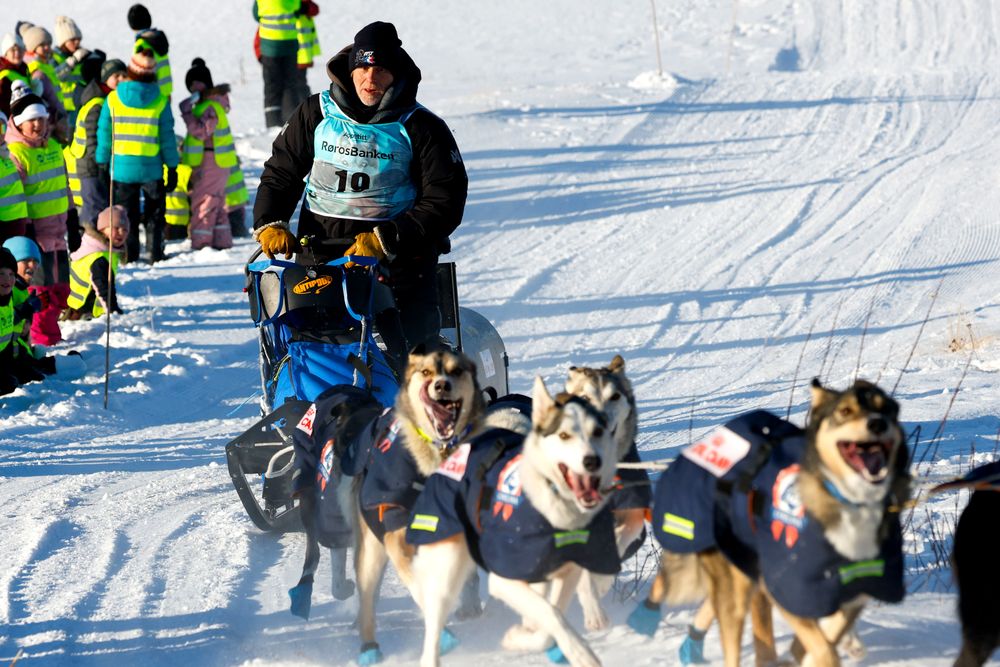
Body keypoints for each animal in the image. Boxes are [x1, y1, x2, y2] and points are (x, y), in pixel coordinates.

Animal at [402, 376, 620, 667]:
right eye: (564, 436)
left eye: (597, 433)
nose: (592, 461)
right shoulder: (505, 579)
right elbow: (550, 614)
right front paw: (580, 652)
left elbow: (550, 617)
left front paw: (524, 636)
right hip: (445, 576)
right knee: (434, 630)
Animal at [564, 354, 648, 632]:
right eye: (585, 398)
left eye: (614, 396)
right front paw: (595, 613)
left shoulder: (633, 508)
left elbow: (623, 535)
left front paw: (602, 580)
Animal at [636, 380, 912, 667]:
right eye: (845, 411)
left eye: (888, 409)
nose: (877, 423)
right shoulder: (782, 586)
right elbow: (821, 646)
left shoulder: (857, 588)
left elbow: (827, 632)